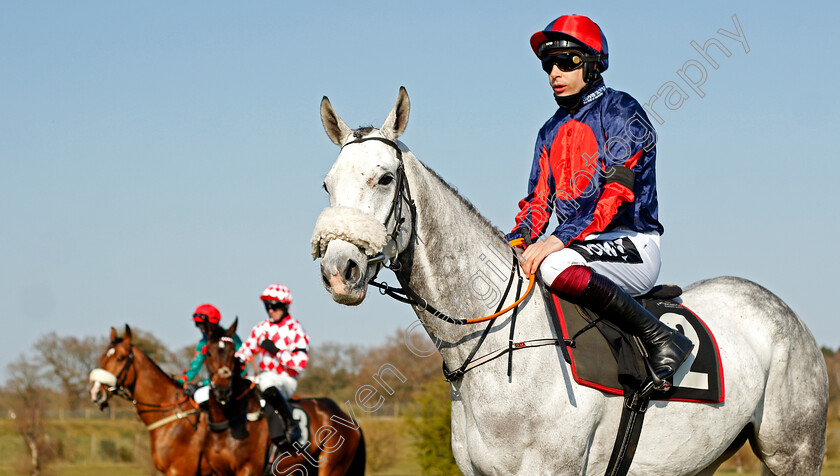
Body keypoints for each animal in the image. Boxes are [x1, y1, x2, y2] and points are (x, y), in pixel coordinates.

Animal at [203, 320, 364, 476]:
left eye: (232, 353)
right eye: (209, 353)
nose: (222, 390)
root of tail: (348, 418)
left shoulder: (249, 469)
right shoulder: (218, 471)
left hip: (332, 465)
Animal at [310, 87, 828, 474]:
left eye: (383, 178)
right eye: (327, 184)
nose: (339, 270)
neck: (495, 351)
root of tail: (782, 311)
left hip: (795, 452)